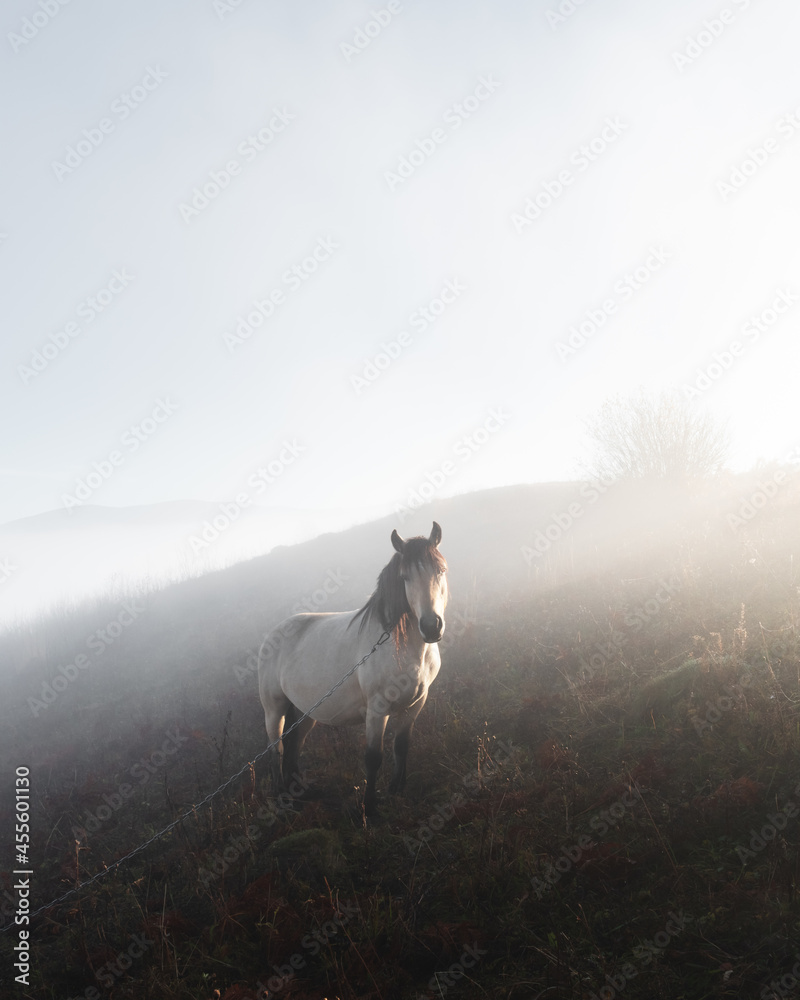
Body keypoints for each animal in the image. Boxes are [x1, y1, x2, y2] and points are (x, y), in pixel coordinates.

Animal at [262, 524, 450, 812]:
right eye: (405, 577)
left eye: (440, 570)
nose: (431, 627)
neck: (399, 646)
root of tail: (272, 636)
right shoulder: (377, 710)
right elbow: (373, 757)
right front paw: (370, 806)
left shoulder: (416, 703)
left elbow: (401, 746)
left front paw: (397, 790)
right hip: (274, 710)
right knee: (276, 750)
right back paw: (282, 800)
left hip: (305, 713)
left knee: (293, 748)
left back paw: (300, 796)